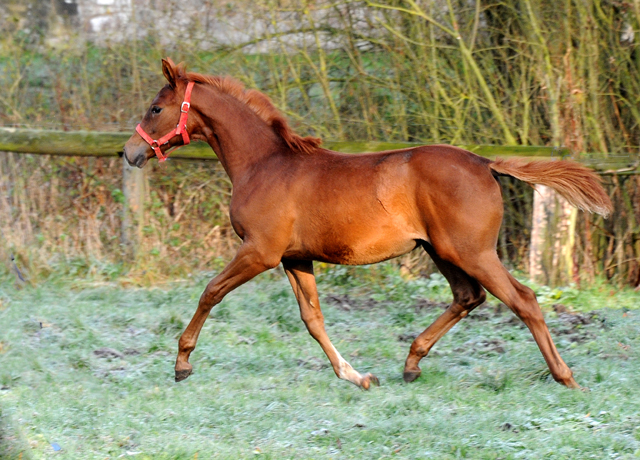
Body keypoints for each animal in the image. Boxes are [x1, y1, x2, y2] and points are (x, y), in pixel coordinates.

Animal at [122, 57, 612, 388]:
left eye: (155, 108)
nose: (130, 152)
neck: (263, 165)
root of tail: (484, 162)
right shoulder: (295, 259)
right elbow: (313, 318)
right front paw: (355, 376)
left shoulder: (260, 252)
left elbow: (210, 292)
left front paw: (182, 363)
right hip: (442, 251)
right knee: (468, 297)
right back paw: (411, 363)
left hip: (471, 251)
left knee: (522, 299)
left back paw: (565, 375)